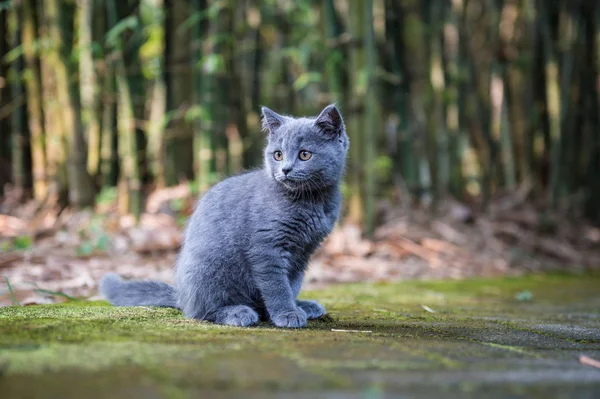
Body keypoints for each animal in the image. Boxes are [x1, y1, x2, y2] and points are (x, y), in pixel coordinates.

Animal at [101, 105, 350, 328]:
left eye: (305, 154)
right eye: (278, 155)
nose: (285, 169)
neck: (311, 201)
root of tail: (181, 295)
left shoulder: (304, 252)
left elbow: (291, 282)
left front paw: (293, 307)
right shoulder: (266, 248)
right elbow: (276, 285)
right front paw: (286, 314)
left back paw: (303, 306)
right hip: (210, 265)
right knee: (199, 311)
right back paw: (237, 312)